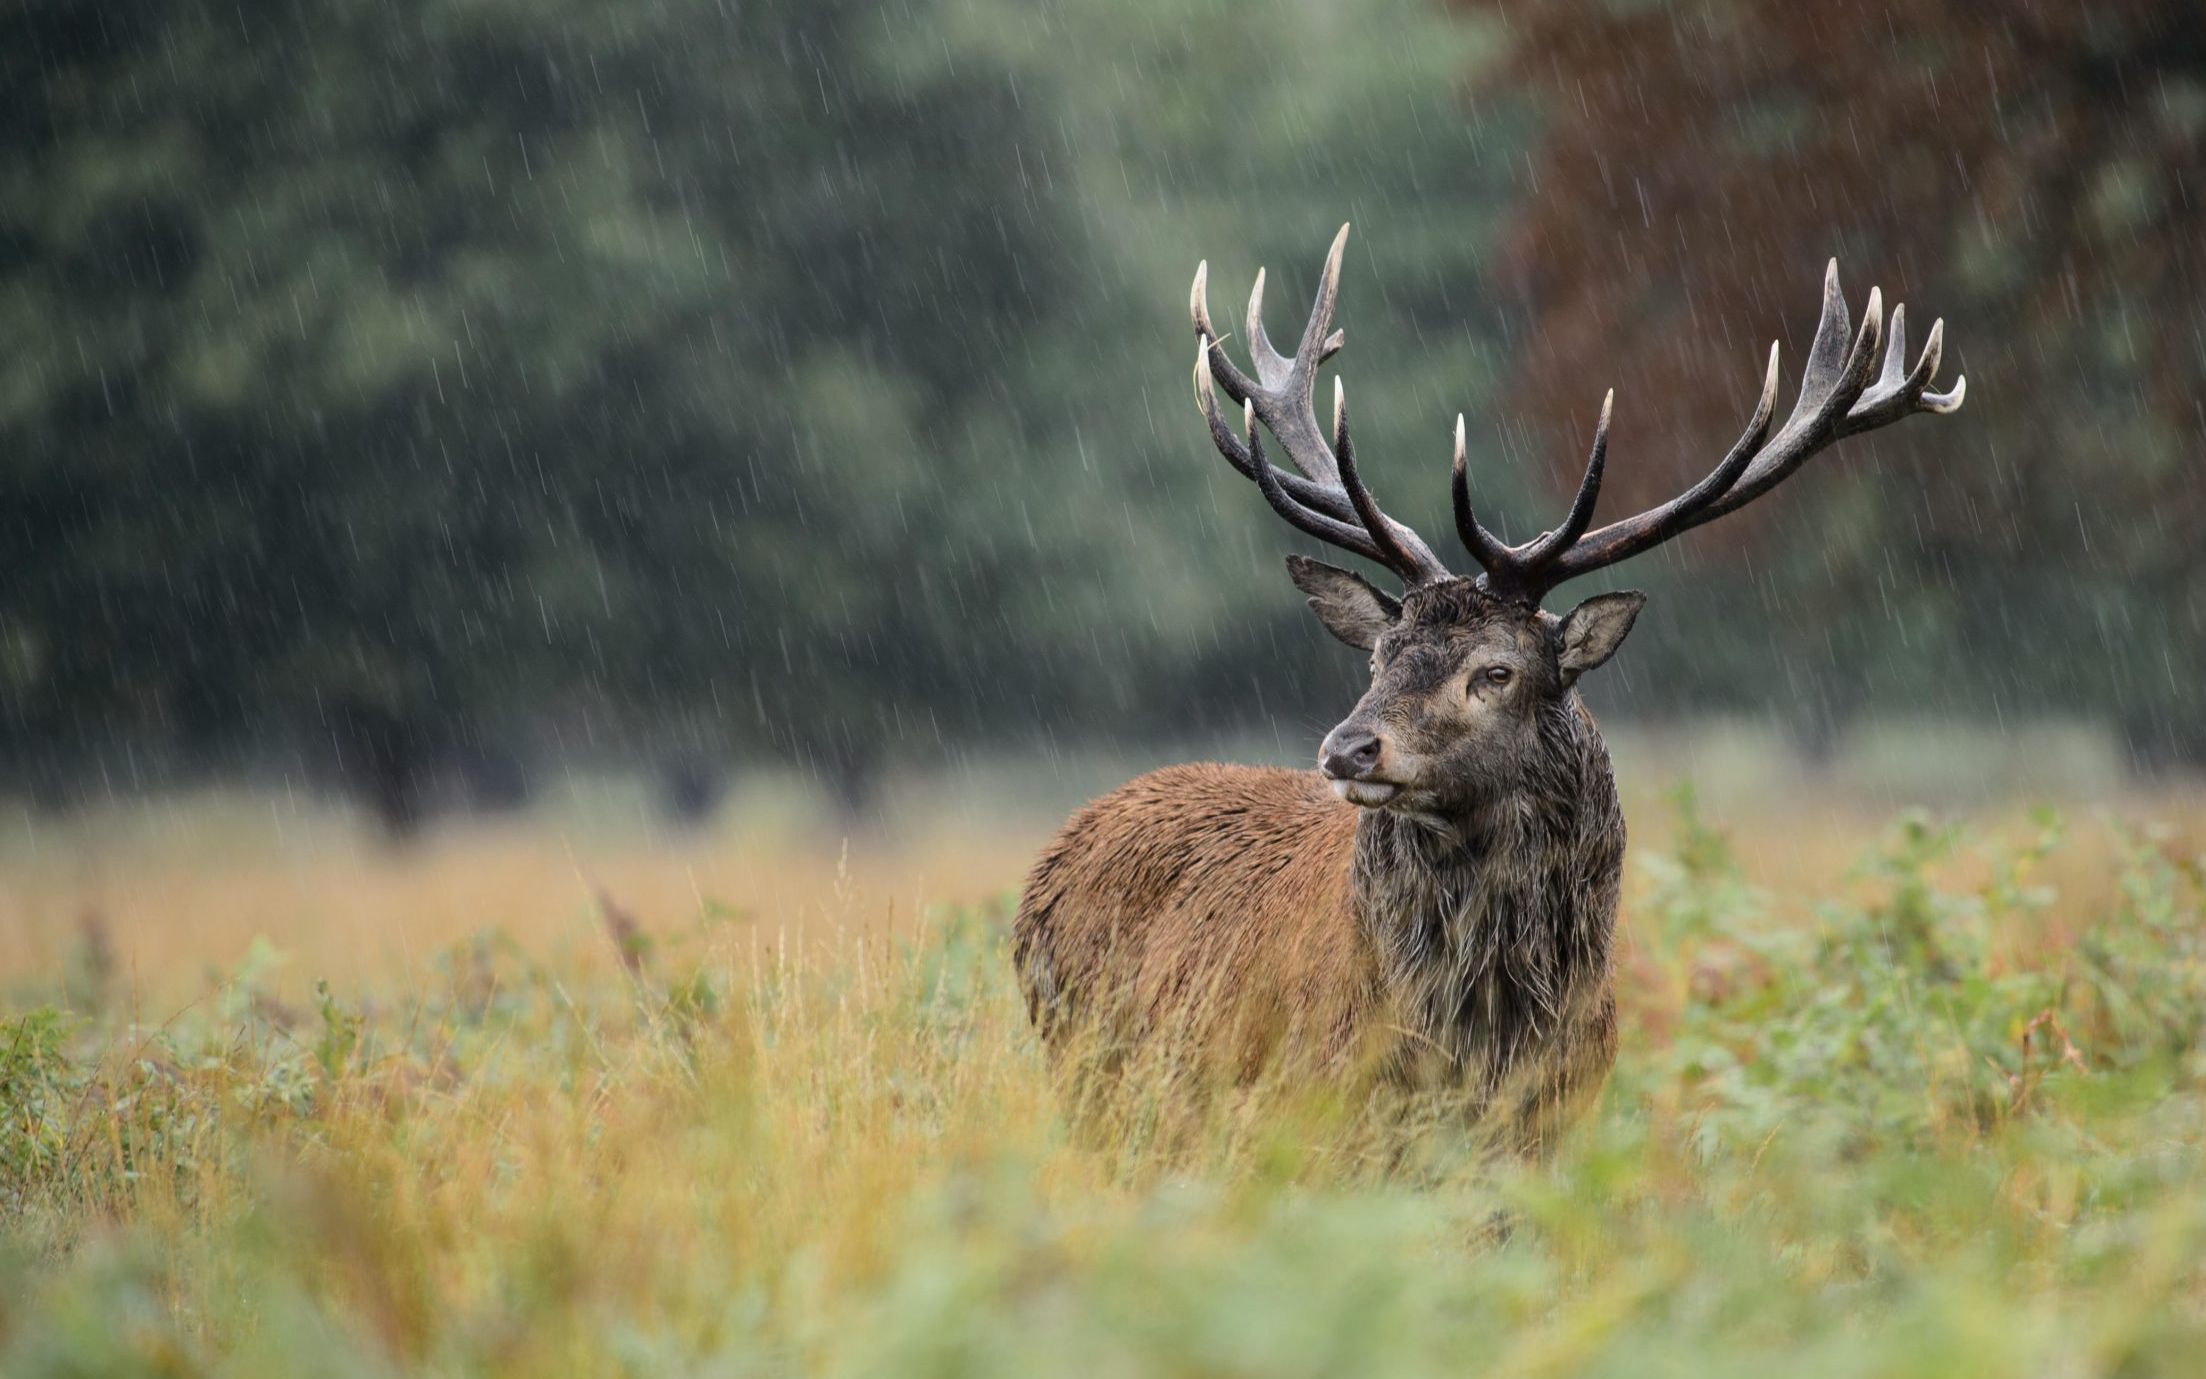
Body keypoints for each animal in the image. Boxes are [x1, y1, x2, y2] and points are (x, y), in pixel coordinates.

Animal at [1010, 226, 1967, 1147]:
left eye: (1496, 671)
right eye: (1380, 656)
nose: (1347, 748)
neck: (1487, 1032)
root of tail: (1045, 868)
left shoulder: (1559, 1121)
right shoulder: (1315, 1109)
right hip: (1091, 1075)